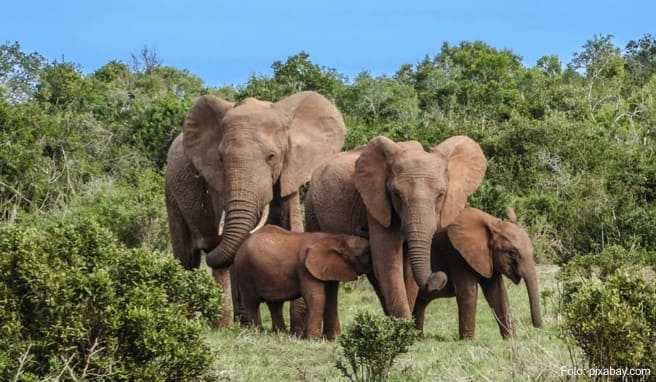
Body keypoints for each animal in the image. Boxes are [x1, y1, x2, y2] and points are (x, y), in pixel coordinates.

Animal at [164, 92, 346, 326]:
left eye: (272, 156)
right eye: (221, 158)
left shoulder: (290, 171)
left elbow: (292, 226)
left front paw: (297, 328)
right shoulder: (217, 182)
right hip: (171, 190)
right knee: (187, 258)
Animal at [233, 225, 372, 338]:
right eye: (365, 253)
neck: (335, 239)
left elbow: (331, 299)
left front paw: (334, 339)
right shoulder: (304, 268)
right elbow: (316, 298)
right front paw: (313, 340)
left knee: (275, 304)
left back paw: (280, 334)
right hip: (245, 271)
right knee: (251, 303)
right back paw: (256, 333)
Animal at [304, 136, 484, 318]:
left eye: (441, 195)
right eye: (396, 195)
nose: (439, 277)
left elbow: (408, 272)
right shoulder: (377, 204)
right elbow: (388, 262)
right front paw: (404, 324)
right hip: (311, 209)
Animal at [412, 207, 540, 338]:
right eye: (512, 253)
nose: (537, 327)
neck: (493, 223)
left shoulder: (488, 259)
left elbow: (497, 291)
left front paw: (511, 338)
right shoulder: (456, 255)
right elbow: (469, 291)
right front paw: (468, 340)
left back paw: (418, 336)